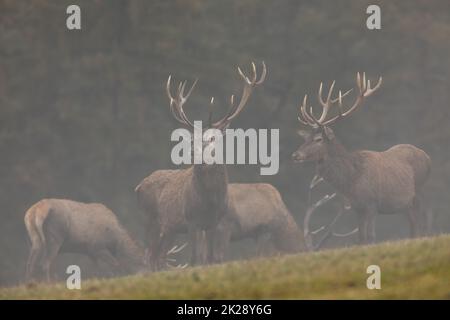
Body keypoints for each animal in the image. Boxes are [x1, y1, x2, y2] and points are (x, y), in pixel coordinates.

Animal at [23, 199, 185, 282]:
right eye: (150, 270)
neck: (116, 241)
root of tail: (35, 211)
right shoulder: (97, 247)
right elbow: (116, 264)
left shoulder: (90, 252)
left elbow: (99, 270)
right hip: (55, 237)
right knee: (44, 264)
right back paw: (49, 284)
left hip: (35, 239)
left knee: (30, 263)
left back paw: (30, 285)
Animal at [294, 73, 430, 242]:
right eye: (306, 139)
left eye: (318, 139)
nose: (295, 155)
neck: (351, 180)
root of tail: (428, 157)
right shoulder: (357, 208)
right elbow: (360, 237)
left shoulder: (372, 204)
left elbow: (371, 236)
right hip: (406, 204)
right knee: (413, 225)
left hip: (421, 190)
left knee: (424, 221)